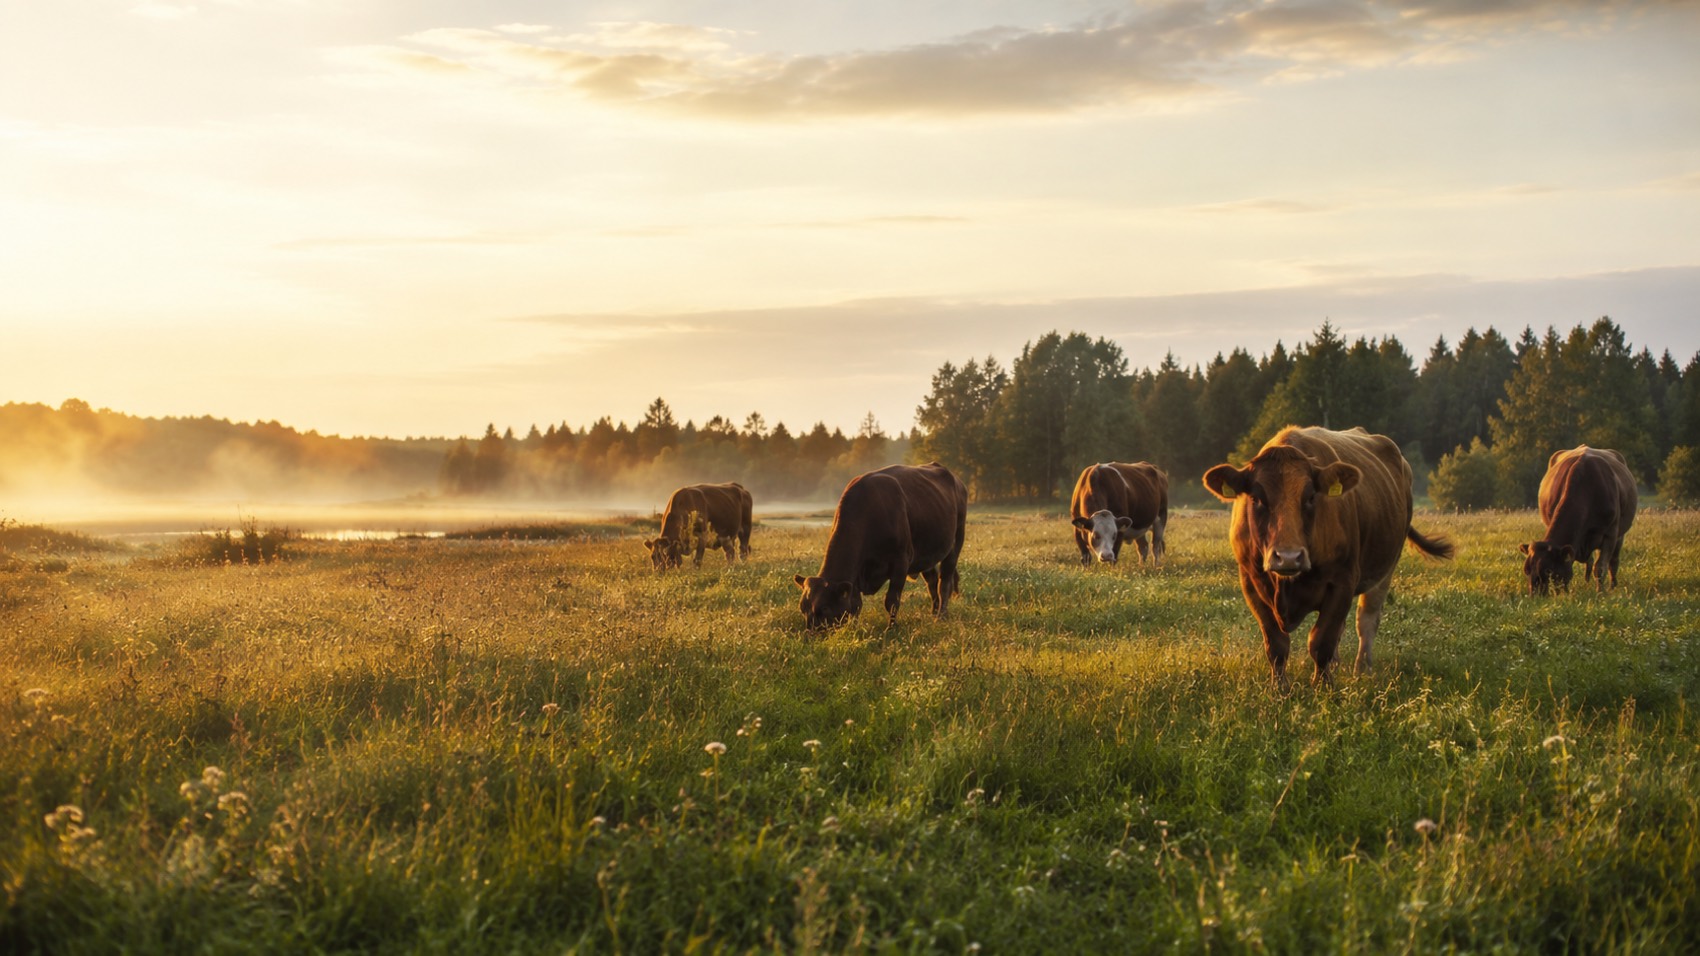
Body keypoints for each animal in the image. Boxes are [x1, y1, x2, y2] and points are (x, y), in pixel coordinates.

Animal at [794, 462, 967, 629]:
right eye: (802, 608)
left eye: (824, 608)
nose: (811, 633)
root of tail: (957, 480)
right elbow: (856, 603)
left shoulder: (901, 561)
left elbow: (892, 601)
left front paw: (891, 628)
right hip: (926, 553)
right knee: (932, 582)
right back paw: (933, 612)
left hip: (956, 542)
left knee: (944, 582)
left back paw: (941, 616)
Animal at [1203, 426, 1454, 684]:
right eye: (1256, 499)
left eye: (1311, 497)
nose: (1288, 557)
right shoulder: (1251, 582)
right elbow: (1277, 645)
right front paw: (1280, 688)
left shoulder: (1342, 582)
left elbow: (1321, 641)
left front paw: (1323, 686)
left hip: (1386, 568)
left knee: (1366, 619)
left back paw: (1362, 668)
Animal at [1518, 445, 1637, 595]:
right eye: (1526, 570)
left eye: (1548, 570)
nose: (1535, 595)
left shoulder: (1610, 534)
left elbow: (1601, 567)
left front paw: (1601, 592)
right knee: (1591, 561)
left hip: (1620, 534)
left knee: (1613, 561)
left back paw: (1612, 586)